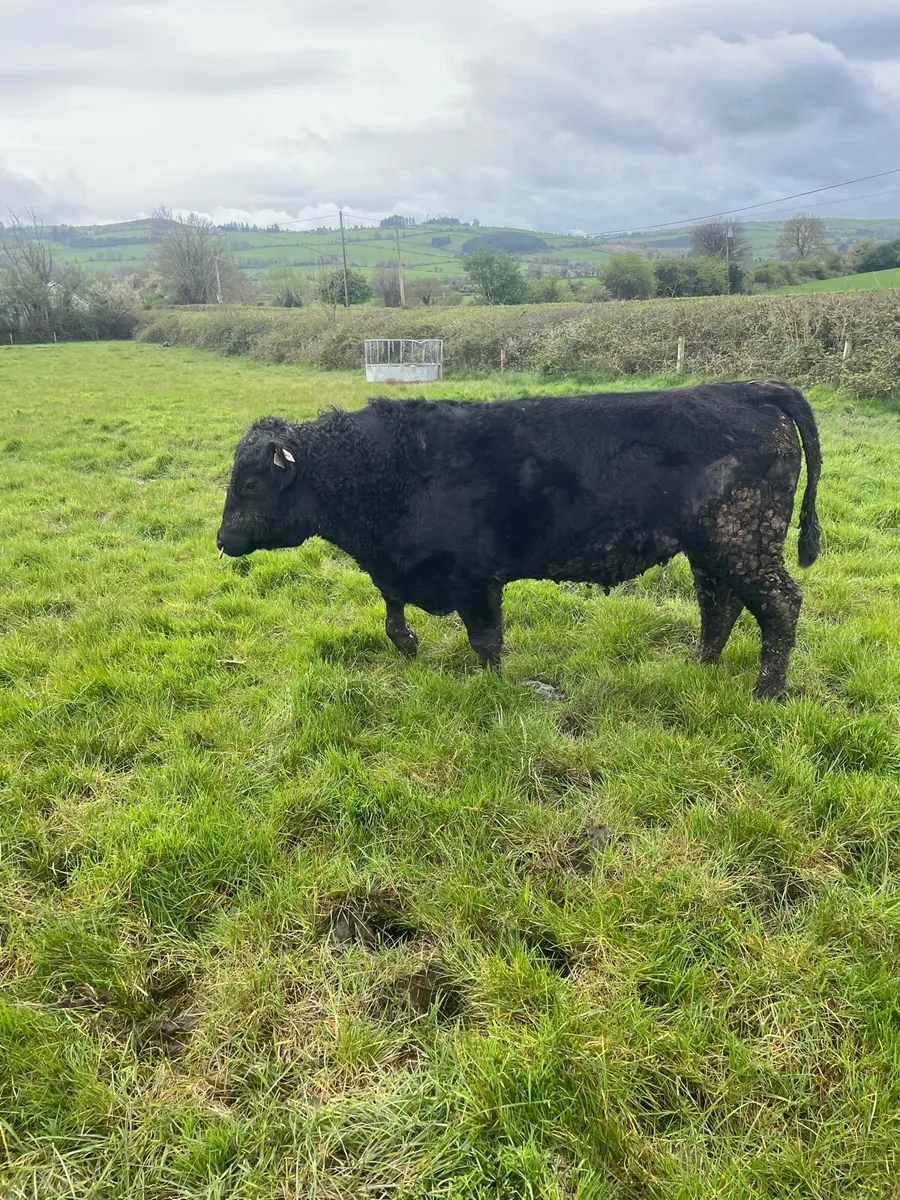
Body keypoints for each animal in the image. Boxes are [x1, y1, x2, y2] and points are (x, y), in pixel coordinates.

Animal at [217, 380, 821, 699]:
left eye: (250, 482)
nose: (222, 539)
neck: (391, 467)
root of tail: (746, 389)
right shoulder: (399, 566)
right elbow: (392, 614)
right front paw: (408, 643)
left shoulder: (473, 578)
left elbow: (486, 641)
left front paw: (493, 690)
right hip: (711, 547)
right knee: (719, 605)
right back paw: (701, 667)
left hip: (743, 540)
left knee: (779, 605)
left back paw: (767, 691)